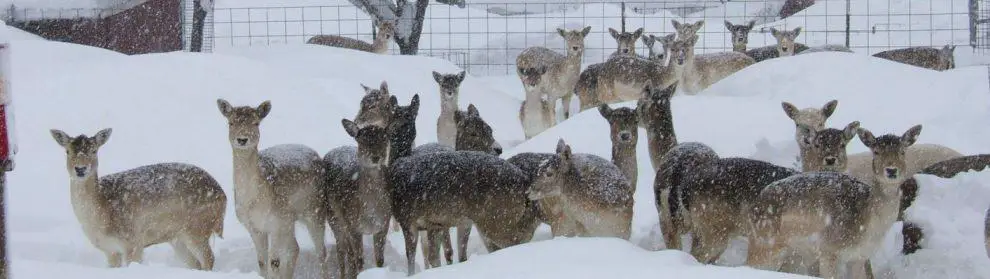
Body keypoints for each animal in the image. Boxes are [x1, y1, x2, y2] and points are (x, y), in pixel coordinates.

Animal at [50, 129, 227, 272]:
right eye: (67, 151)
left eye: (94, 150)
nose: (80, 169)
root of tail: (223, 197)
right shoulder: (109, 249)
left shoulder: (132, 241)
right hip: (178, 238)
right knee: (196, 264)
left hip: (197, 228)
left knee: (209, 259)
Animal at [218, 99, 330, 278]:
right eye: (231, 122)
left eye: (256, 123)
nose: (242, 139)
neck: (253, 201)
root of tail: (319, 157)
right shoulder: (253, 226)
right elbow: (262, 262)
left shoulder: (275, 222)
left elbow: (274, 262)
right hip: (289, 220)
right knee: (295, 248)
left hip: (315, 210)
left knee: (321, 252)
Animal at [390, 151, 544, 276]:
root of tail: (524, 181)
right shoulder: (437, 223)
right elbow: (425, 257)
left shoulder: (416, 221)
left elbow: (421, 256)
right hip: (479, 222)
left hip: (495, 218)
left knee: (518, 239)